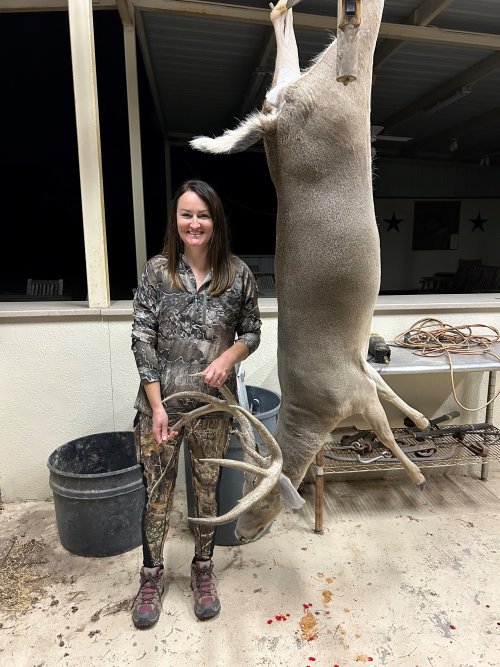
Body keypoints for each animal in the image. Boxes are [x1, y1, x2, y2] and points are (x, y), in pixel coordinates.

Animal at [171, 0, 430, 543]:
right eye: (245, 500)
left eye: (263, 500)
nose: (241, 533)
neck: (317, 412)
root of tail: (274, 124)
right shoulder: (356, 385)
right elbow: (386, 419)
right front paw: (419, 456)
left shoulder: (357, 383)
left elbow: (387, 412)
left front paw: (418, 448)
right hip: (330, 98)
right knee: (328, 47)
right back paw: (285, 9)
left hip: (321, 99)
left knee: (309, 59)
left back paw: (285, 9)